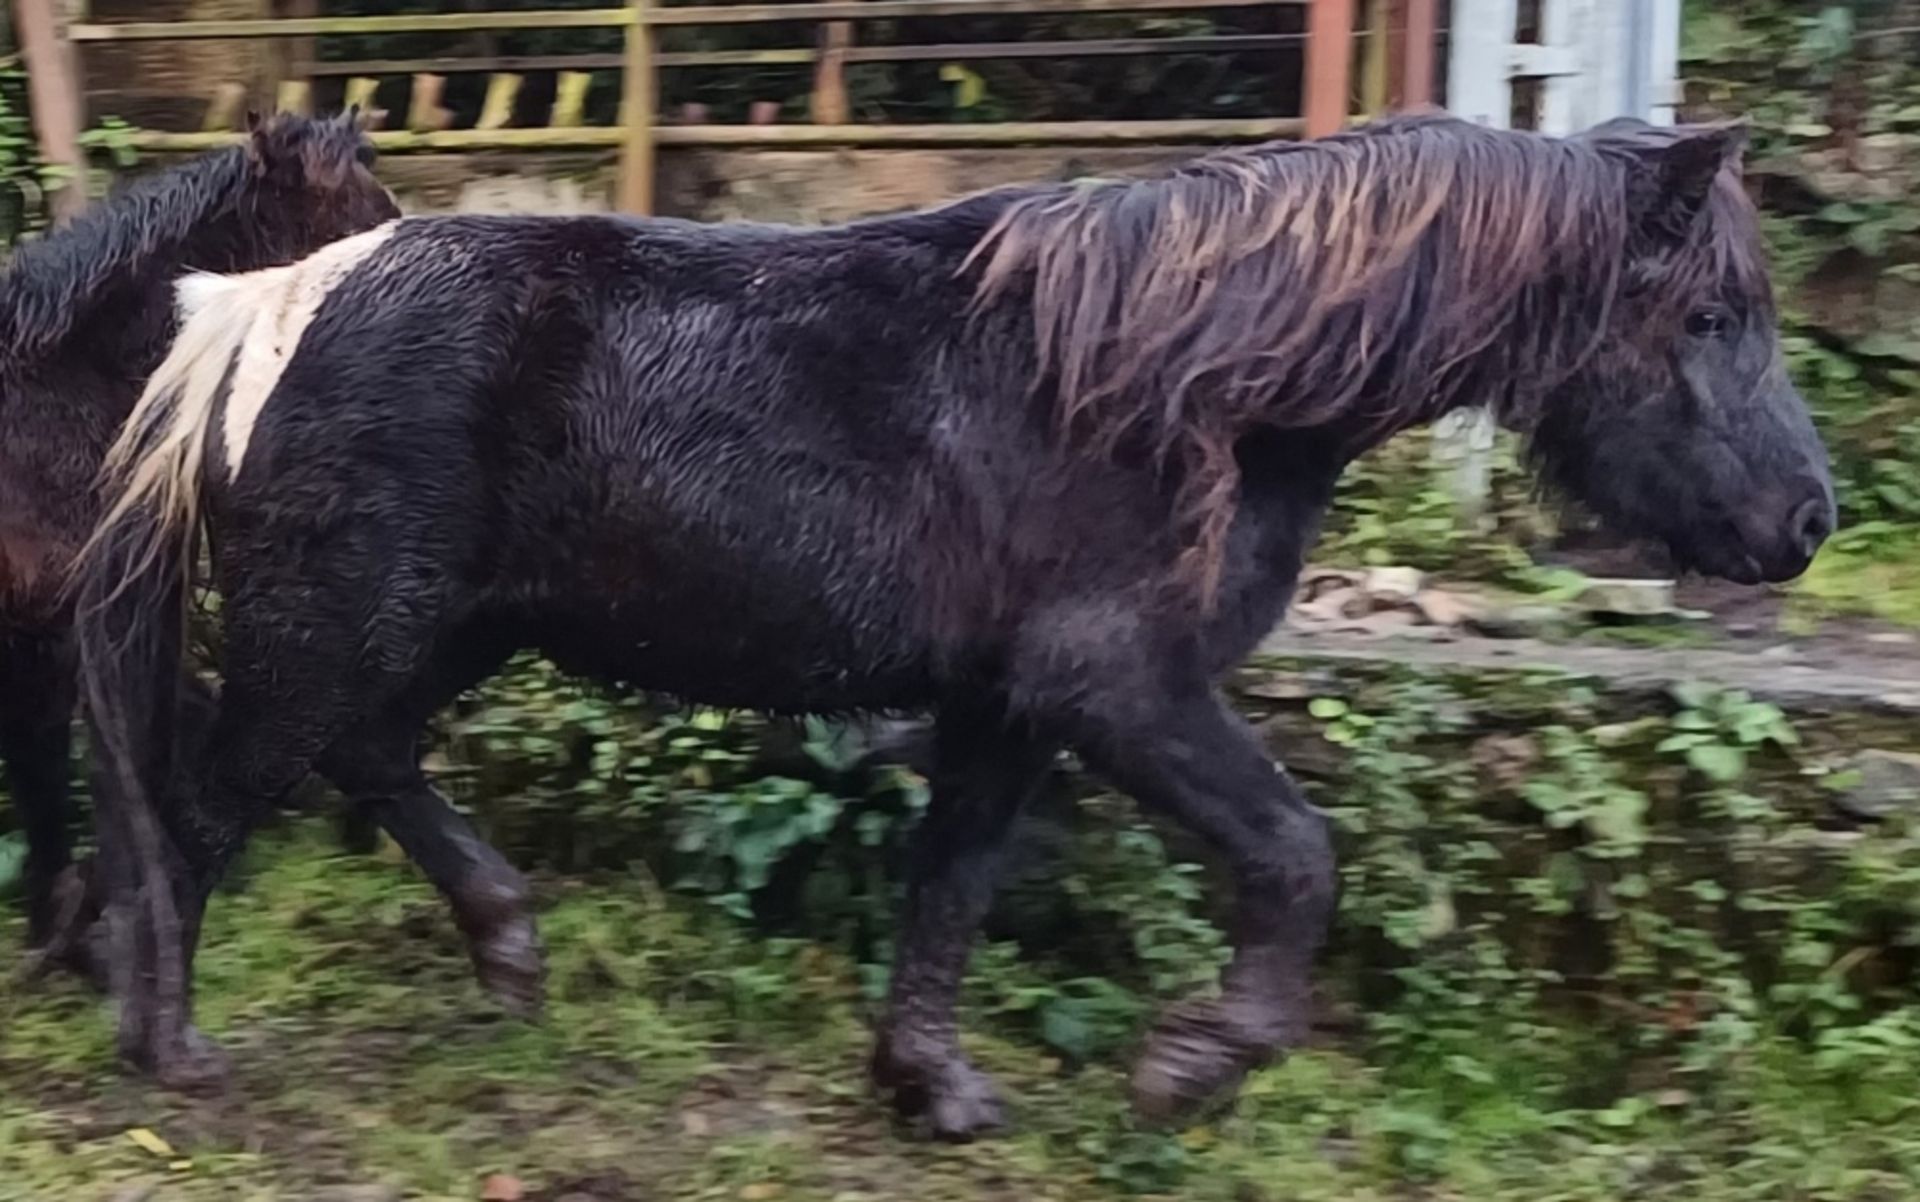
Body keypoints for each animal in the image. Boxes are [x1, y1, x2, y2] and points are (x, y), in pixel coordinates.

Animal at [78, 112, 1843, 1129]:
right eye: (1709, 315)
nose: (1806, 524)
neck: (1186, 384)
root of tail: (257, 306)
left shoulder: (1010, 704)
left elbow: (954, 886)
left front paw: (928, 1082)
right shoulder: (1120, 686)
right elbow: (1295, 853)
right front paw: (1193, 1064)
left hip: (438, 629)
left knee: (363, 759)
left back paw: (509, 952)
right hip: (338, 624)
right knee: (201, 804)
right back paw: (167, 1048)